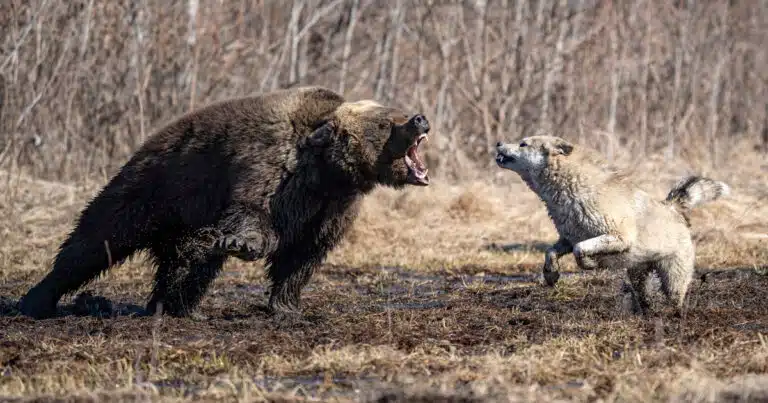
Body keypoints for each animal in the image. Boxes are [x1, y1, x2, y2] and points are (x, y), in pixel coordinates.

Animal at [18, 86, 431, 319]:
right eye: (385, 123)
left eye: (395, 112)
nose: (419, 119)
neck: (327, 172)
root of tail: (148, 143)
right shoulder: (270, 168)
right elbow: (253, 215)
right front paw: (243, 244)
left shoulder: (332, 207)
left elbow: (303, 255)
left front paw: (288, 307)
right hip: (154, 188)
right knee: (97, 239)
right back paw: (38, 300)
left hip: (186, 216)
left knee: (190, 261)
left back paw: (175, 305)